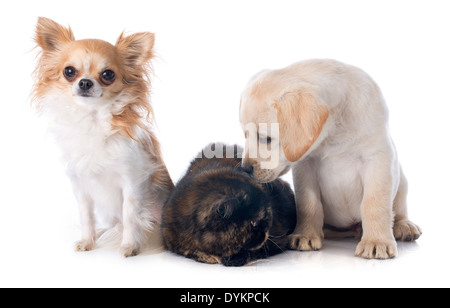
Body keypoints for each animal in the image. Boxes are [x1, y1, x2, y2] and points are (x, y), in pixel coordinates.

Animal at [160, 143, 298, 266]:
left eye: (268, 217)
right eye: (254, 222)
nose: (265, 231)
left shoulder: (277, 240)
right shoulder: (171, 237)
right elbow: (188, 250)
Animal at [241, 59, 420, 258]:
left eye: (265, 138)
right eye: (245, 134)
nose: (245, 168)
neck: (333, 134)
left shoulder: (378, 159)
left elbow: (375, 203)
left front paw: (376, 241)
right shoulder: (305, 166)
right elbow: (308, 203)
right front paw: (305, 235)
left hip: (401, 181)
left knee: (399, 210)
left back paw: (404, 226)